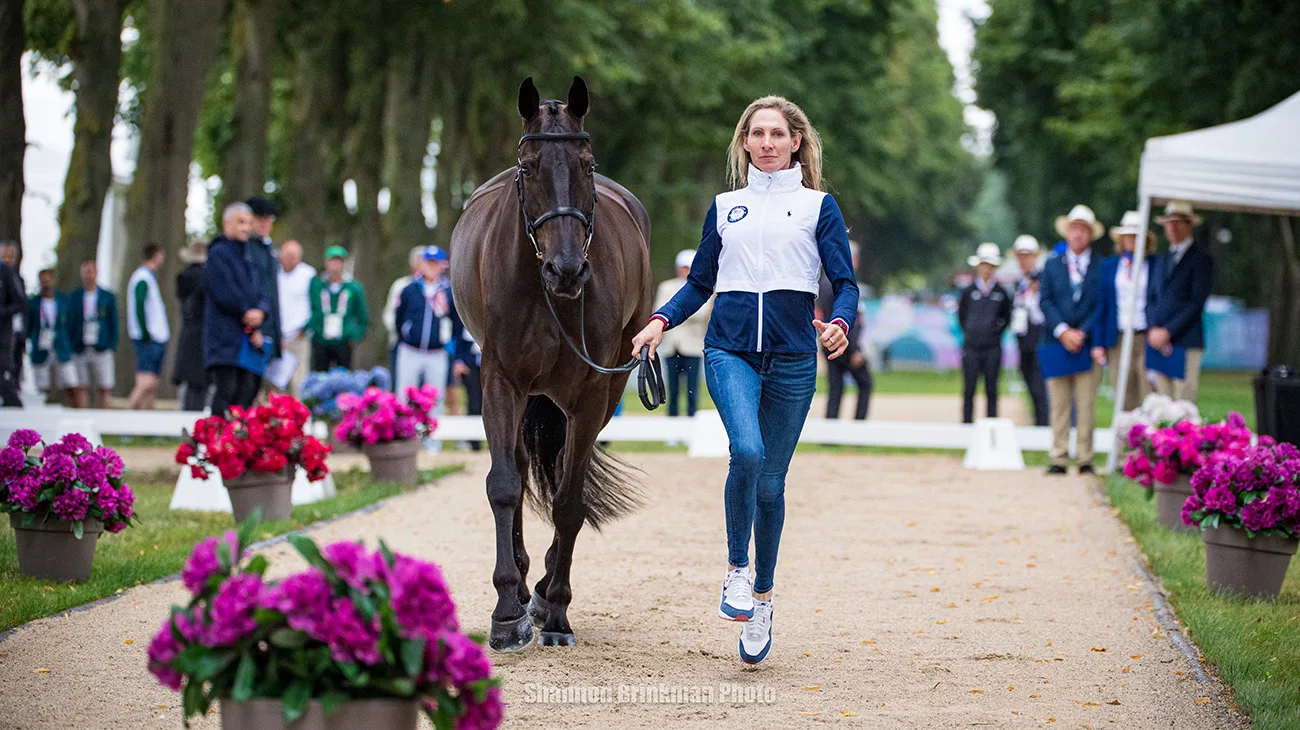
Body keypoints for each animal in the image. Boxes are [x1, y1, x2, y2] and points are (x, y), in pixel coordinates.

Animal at [449, 76, 655, 649]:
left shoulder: (590, 395)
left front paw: (556, 609)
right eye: (528, 166)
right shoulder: (500, 381)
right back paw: (521, 586)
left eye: (587, 163)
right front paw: (505, 610)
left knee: (563, 474)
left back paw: (540, 589)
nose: (567, 270)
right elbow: (503, 485)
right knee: (520, 471)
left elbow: (568, 500)